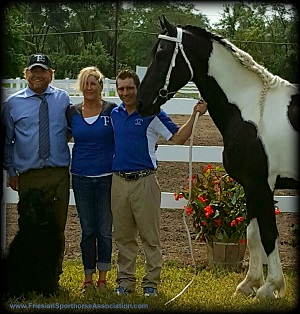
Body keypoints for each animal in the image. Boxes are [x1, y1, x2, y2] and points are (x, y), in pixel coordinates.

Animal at [137, 15, 298, 300]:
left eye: (162, 53)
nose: (142, 103)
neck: (251, 109)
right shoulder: (250, 186)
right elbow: (253, 233)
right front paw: (249, 284)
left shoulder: (262, 185)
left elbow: (269, 234)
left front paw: (270, 287)